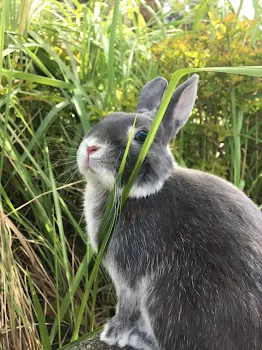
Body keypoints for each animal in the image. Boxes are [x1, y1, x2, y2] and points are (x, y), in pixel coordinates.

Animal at [77, 75, 262, 350]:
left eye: (142, 136)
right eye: (107, 118)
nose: (91, 148)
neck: (138, 193)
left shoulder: (129, 275)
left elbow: (127, 306)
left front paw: (112, 333)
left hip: (168, 295)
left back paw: (141, 338)